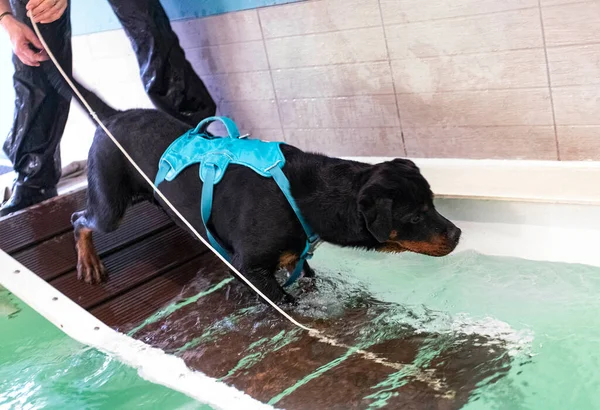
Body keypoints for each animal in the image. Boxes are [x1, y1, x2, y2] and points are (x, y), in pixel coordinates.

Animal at [71, 84, 464, 302]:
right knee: (80, 220)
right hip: (110, 202)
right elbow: (287, 303)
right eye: (414, 215)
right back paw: (89, 262)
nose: (458, 233)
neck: (302, 195)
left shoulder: (294, 257)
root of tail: (112, 115)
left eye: (432, 203)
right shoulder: (248, 268)